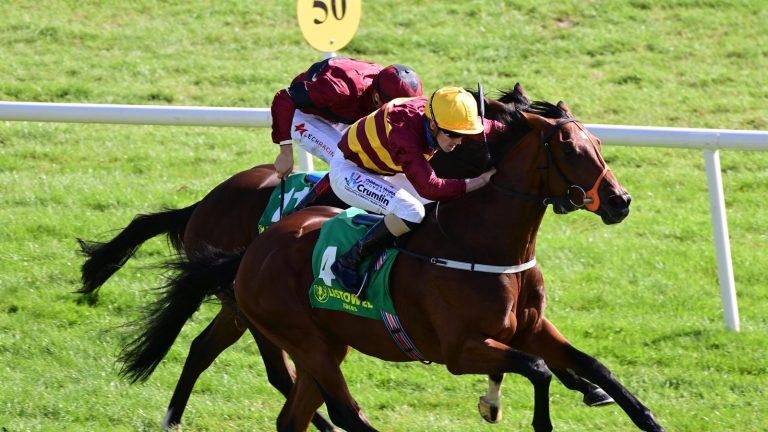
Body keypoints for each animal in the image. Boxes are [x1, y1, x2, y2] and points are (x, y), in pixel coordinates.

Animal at [220, 93, 660, 428]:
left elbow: (593, 365)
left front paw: (643, 416)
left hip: (326, 343)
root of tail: (254, 250)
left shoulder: (531, 327)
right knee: (346, 413)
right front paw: (531, 418)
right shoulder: (460, 350)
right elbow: (538, 368)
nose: (620, 201)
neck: (482, 246)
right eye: (569, 149)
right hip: (309, 343)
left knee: (293, 418)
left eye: (598, 142)